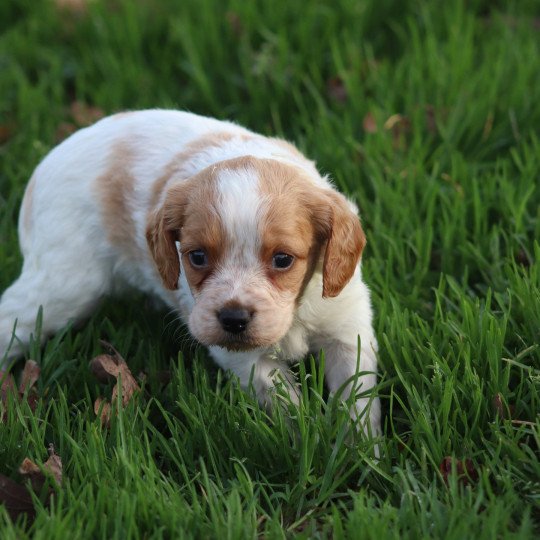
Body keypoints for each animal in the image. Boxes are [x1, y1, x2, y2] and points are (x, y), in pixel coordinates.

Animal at [0, 109, 380, 434]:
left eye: (283, 259)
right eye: (196, 256)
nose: (233, 319)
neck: (294, 313)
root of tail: (42, 169)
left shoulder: (347, 329)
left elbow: (357, 397)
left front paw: (359, 454)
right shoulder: (244, 357)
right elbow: (284, 401)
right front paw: (304, 438)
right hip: (62, 286)